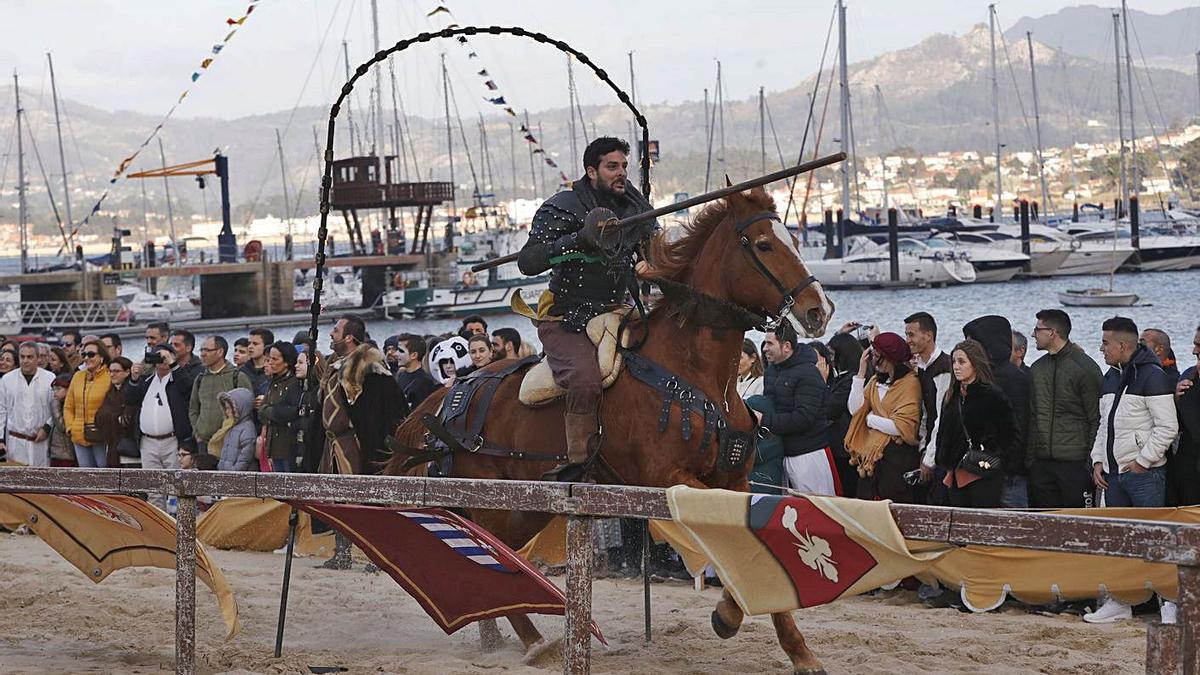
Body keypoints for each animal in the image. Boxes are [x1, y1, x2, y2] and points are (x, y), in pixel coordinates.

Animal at [384, 186, 835, 667]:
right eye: (764, 244)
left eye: (794, 240)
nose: (818, 310)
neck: (695, 373)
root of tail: (453, 395)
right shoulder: (667, 479)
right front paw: (732, 617)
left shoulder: (733, 479)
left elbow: (747, 546)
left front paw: (794, 648)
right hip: (493, 499)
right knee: (493, 550)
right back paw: (535, 642)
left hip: (523, 507)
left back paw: (500, 635)